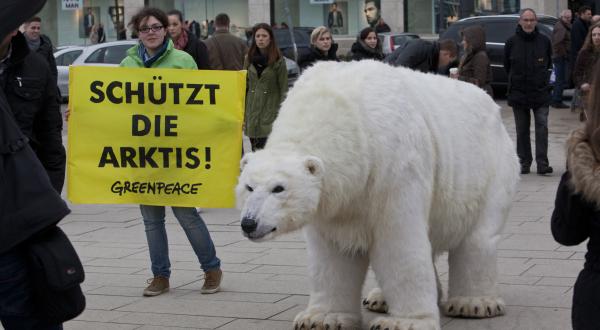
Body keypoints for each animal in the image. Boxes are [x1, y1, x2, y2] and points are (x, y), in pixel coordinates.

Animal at [237, 60, 516, 328]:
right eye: (248, 187)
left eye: (278, 188)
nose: (249, 223)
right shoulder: (336, 202)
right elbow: (332, 254)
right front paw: (323, 318)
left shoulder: (393, 168)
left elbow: (399, 241)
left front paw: (404, 322)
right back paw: (380, 299)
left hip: (492, 168)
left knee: (477, 239)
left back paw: (474, 303)